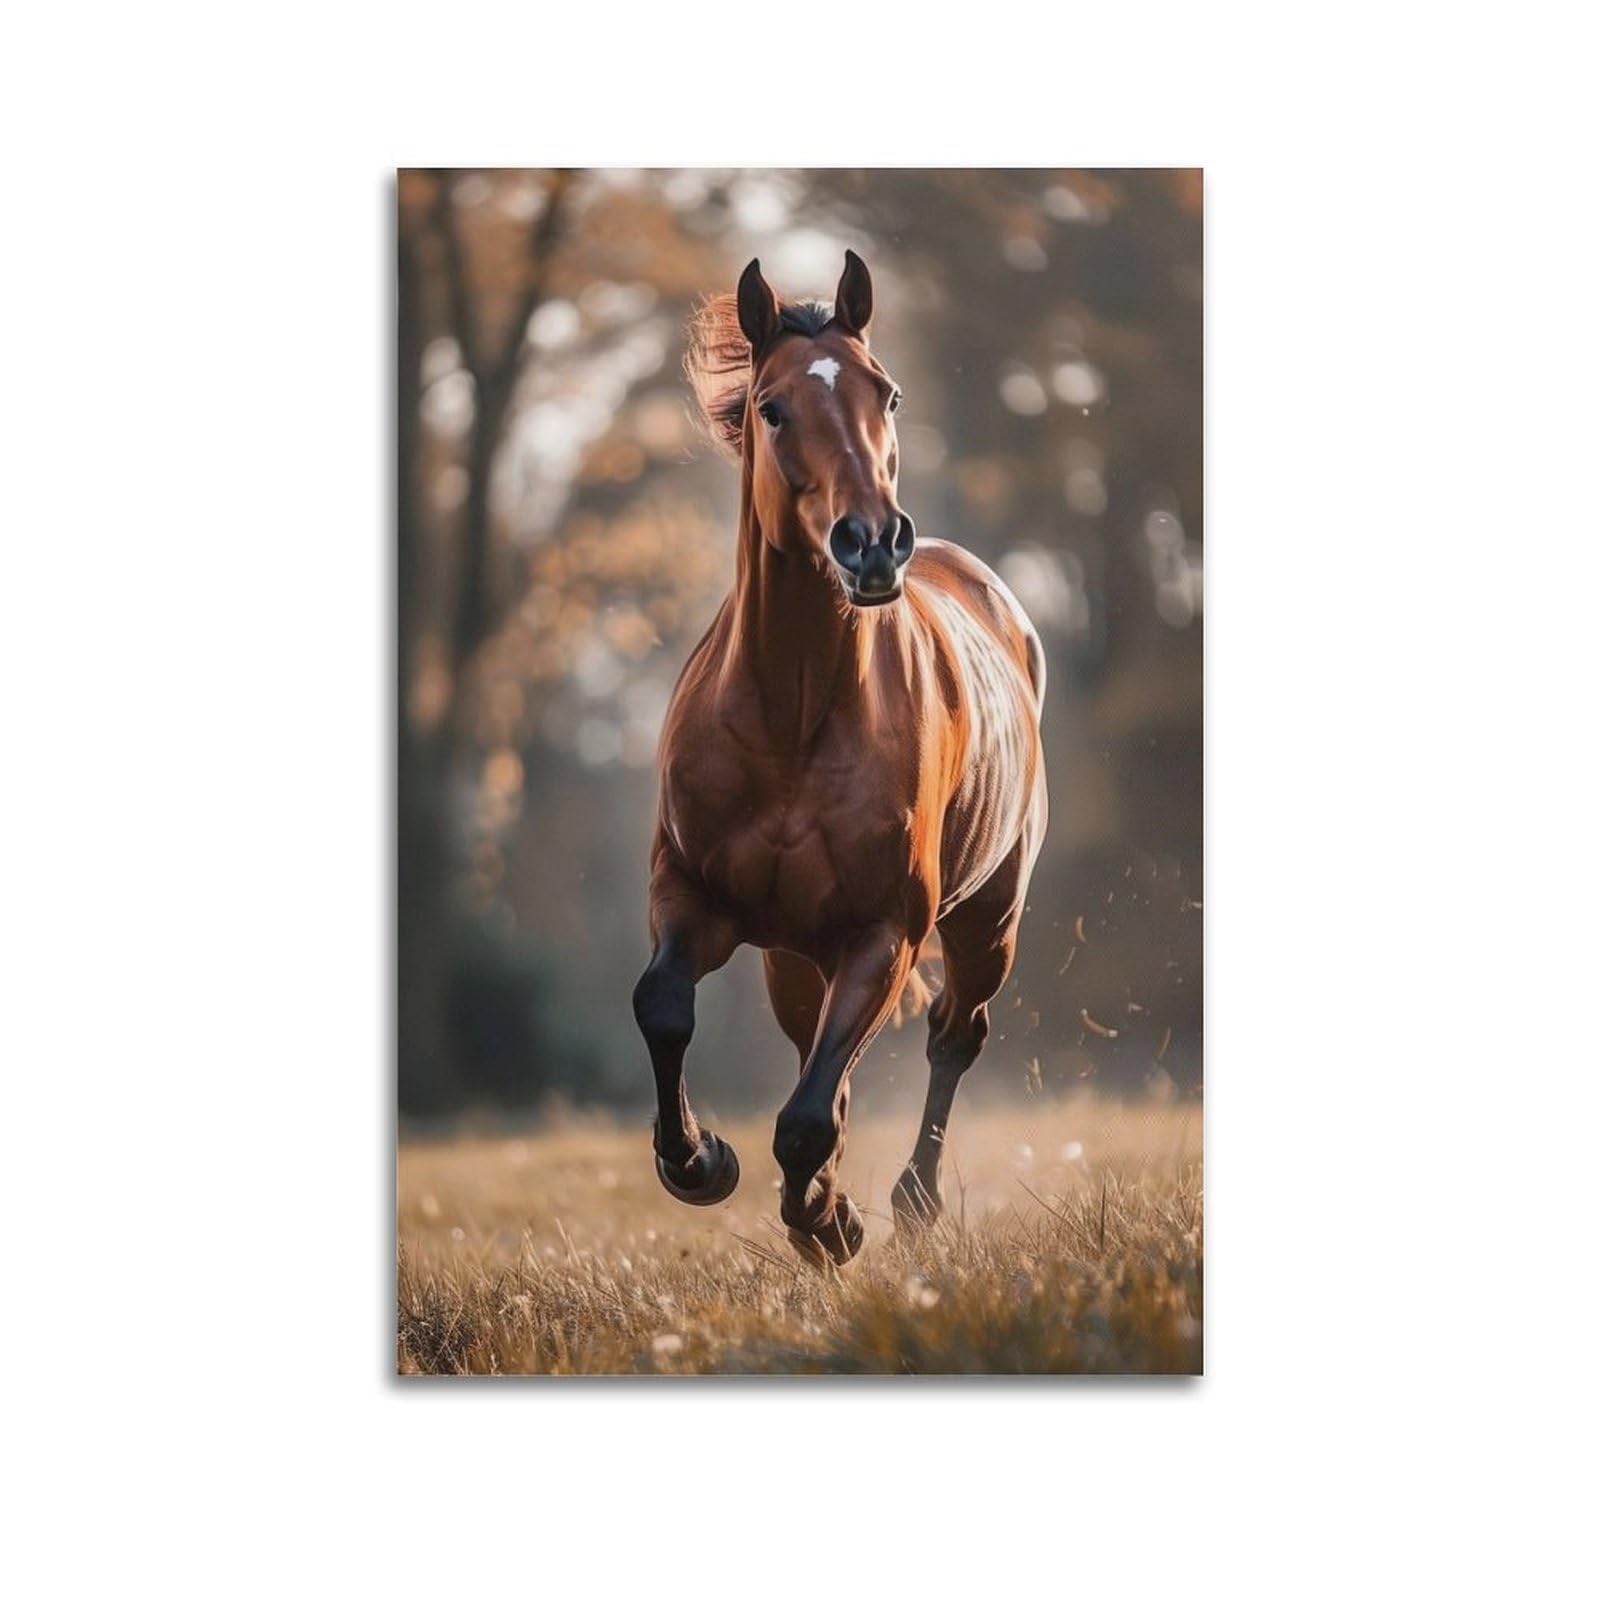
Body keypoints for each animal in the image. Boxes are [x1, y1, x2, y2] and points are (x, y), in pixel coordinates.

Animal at [632, 250, 1048, 1267]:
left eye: (886, 393)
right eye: (773, 406)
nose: (872, 542)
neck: (794, 717)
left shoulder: (882, 935)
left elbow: (807, 1118)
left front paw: (829, 1223)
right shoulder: (691, 895)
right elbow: (663, 1005)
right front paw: (699, 1163)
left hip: (988, 921)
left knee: (954, 1035)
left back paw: (909, 1201)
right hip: (793, 955)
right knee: (818, 1051)